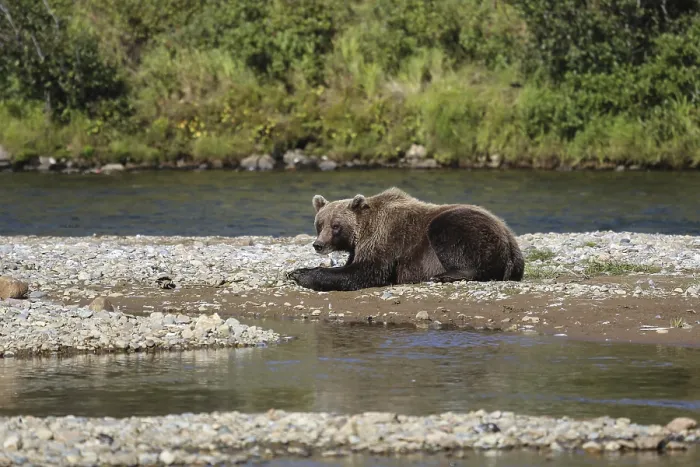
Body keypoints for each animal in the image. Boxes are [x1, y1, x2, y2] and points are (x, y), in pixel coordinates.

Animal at [286, 187, 524, 292]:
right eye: (319, 224)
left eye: (336, 226)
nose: (319, 244)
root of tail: (510, 240)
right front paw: (296, 270)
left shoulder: (385, 238)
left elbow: (366, 271)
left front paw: (303, 275)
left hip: (465, 227)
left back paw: (443, 276)